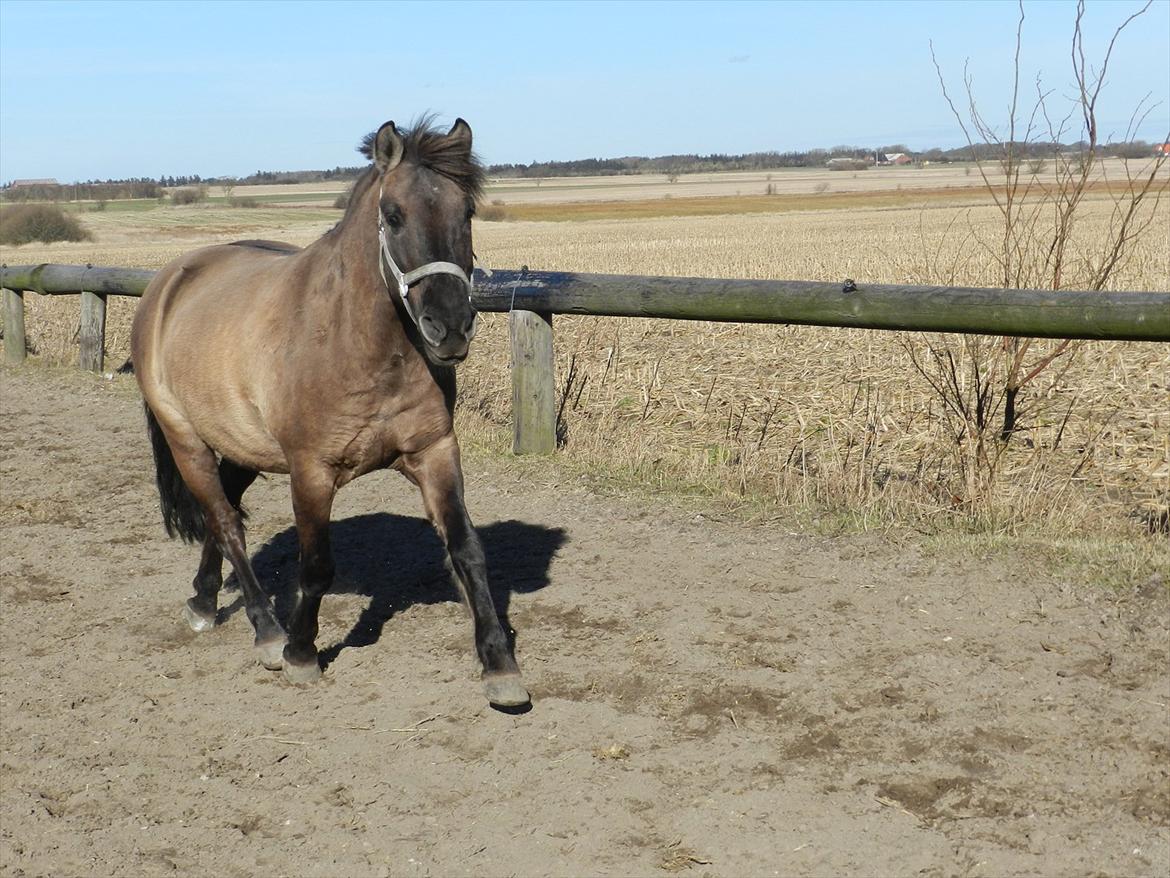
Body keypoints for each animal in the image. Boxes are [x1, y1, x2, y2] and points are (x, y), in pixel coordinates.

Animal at [130, 117, 528, 711]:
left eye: (467, 212)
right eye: (394, 215)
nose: (451, 328)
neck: (358, 343)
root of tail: (170, 280)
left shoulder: (434, 452)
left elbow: (467, 550)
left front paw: (500, 666)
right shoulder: (311, 470)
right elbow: (315, 566)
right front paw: (300, 653)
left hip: (246, 446)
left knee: (225, 511)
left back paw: (203, 601)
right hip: (186, 439)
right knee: (224, 520)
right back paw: (266, 632)